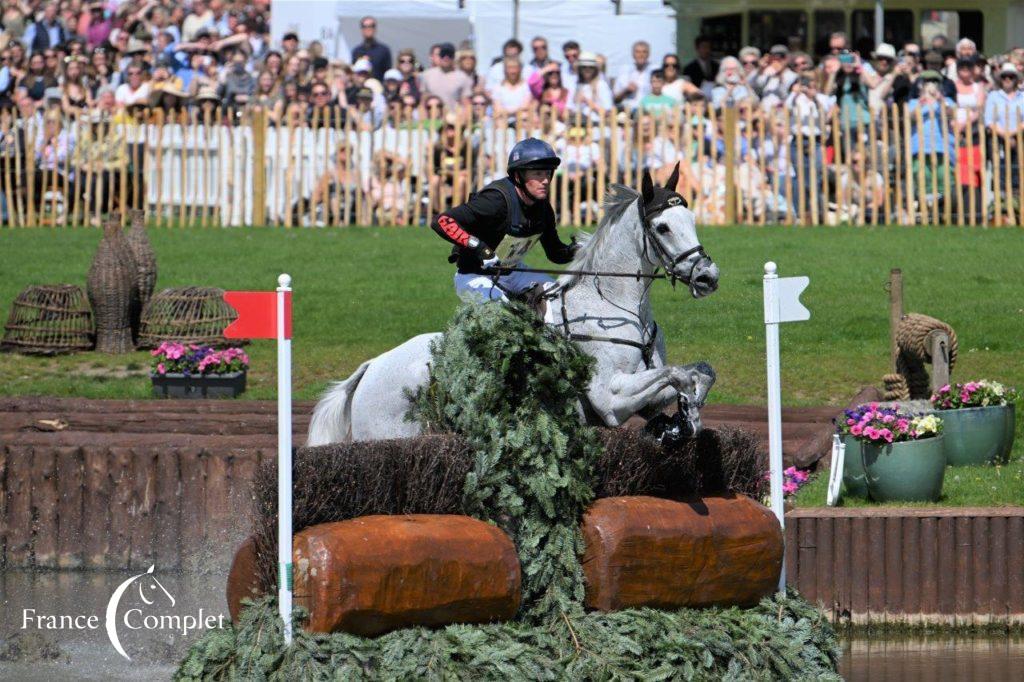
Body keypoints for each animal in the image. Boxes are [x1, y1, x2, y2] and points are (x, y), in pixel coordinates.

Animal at [307, 167, 724, 446]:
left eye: (690, 218)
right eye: (663, 227)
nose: (708, 276)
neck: (613, 305)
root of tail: (370, 368)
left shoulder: (642, 397)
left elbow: (699, 371)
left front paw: (682, 418)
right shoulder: (611, 399)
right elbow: (677, 373)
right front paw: (685, 417)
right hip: (390, 431)